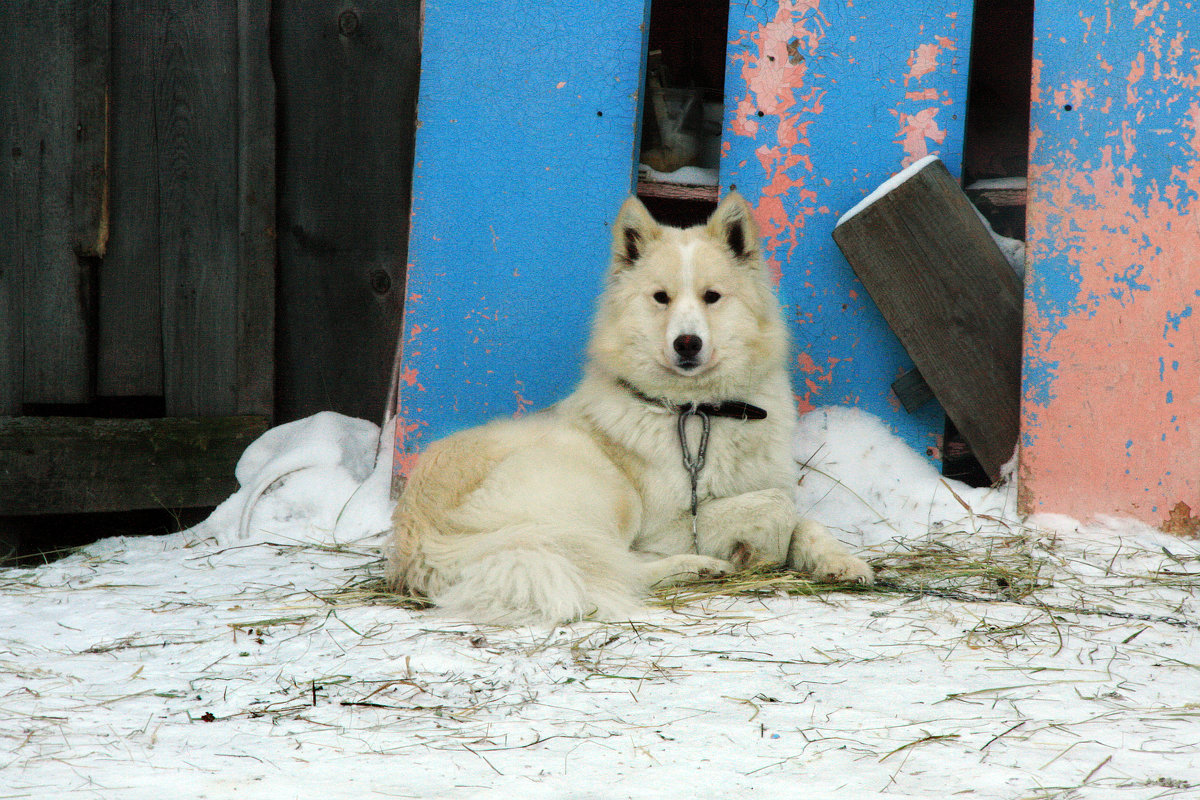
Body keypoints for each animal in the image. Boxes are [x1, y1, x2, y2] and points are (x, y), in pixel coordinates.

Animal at [391, 190, 873, 623]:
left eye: (712, 297)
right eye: (661, 298)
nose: (687, 343)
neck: (700, 410)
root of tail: (420, 542)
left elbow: (804, 521)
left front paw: (841, 562)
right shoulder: (671, 523)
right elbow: (775, 507)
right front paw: (757, 552)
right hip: (599, 486)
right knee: (616, 565)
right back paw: (697, 567)